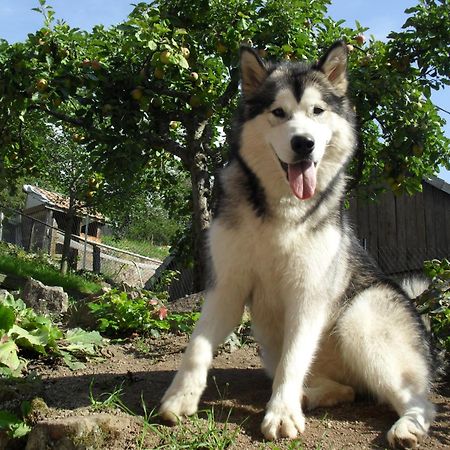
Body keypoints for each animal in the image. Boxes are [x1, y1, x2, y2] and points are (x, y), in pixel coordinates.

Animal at [159, 40, 436, 448]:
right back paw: (317, 394)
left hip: (359, 318)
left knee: (420, 399)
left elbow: (294, 359)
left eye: (317, 111)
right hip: (270, 343)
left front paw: (282, 414)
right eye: (279, 112)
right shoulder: (227, 286)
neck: (281, 211)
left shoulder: (308, 295)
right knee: (340, 387)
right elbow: (197, 346)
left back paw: (406, 426)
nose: (303, 144)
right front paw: (180, 398)